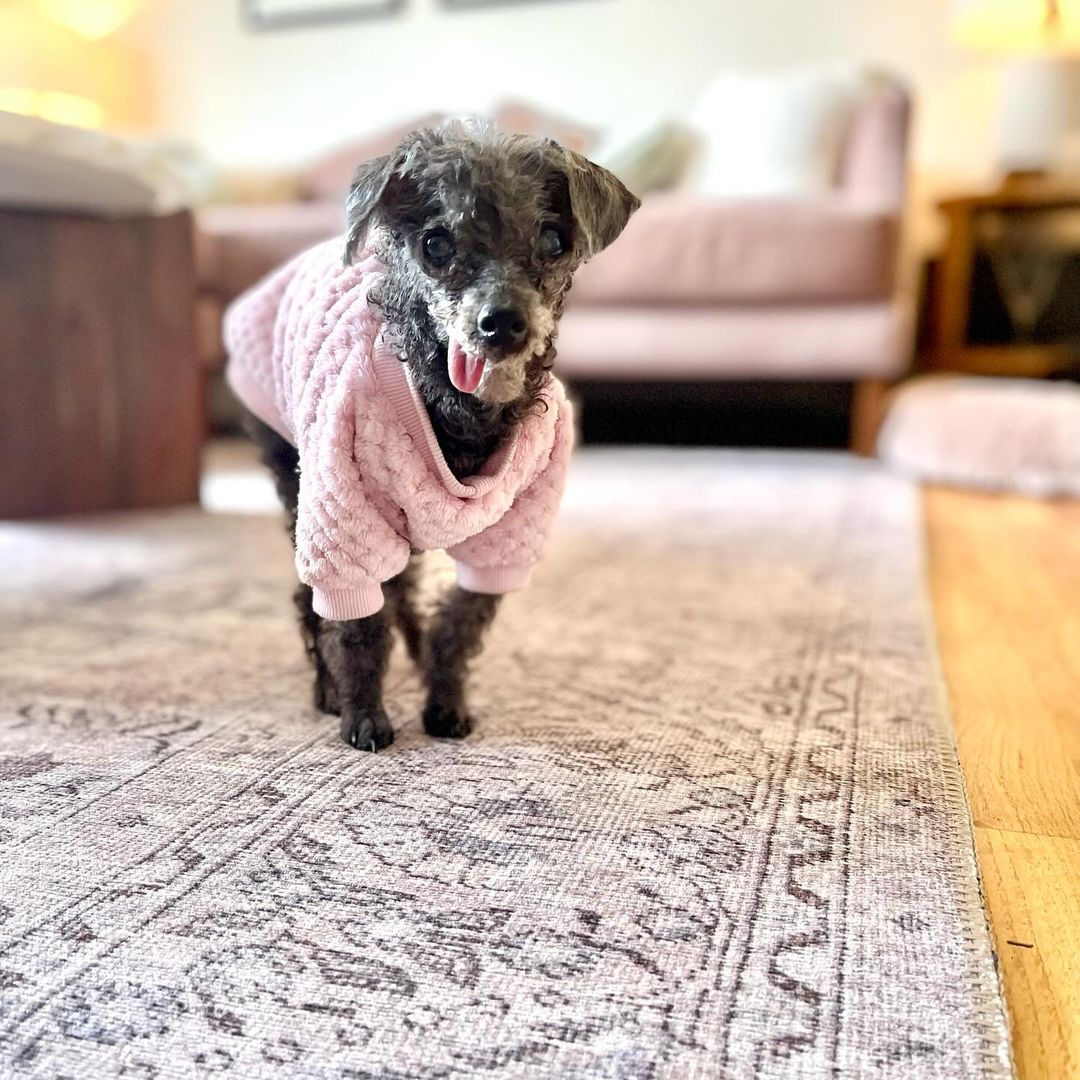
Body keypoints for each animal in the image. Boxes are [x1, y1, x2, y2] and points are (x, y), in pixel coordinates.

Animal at [223, 122, 635, 751]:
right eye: (436, 245)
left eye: (553, 240)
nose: (501, 323)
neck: (460, 408)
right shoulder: (345, 512)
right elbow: (357, 624)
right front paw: (363, 714)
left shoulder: (512, 530)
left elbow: (458, 624)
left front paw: (444, 703)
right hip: (297, 475)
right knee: (314, 598)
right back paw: (327, 689)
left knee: (401, 590)